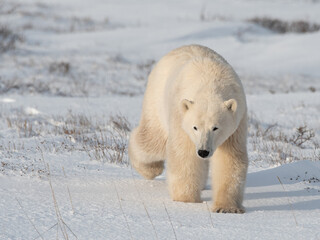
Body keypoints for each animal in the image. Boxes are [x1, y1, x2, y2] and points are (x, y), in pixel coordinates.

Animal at [129, 45, 249, 214]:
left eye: (216, 127)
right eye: (195, 127)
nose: (203, 151)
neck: (210, 85)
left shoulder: (237, 123)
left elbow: (230, 159)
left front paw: (226, 207)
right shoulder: (181, 116)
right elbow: (184, 155)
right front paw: (186, 199)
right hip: (157, 99)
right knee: (152, 141)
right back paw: (151, 169)